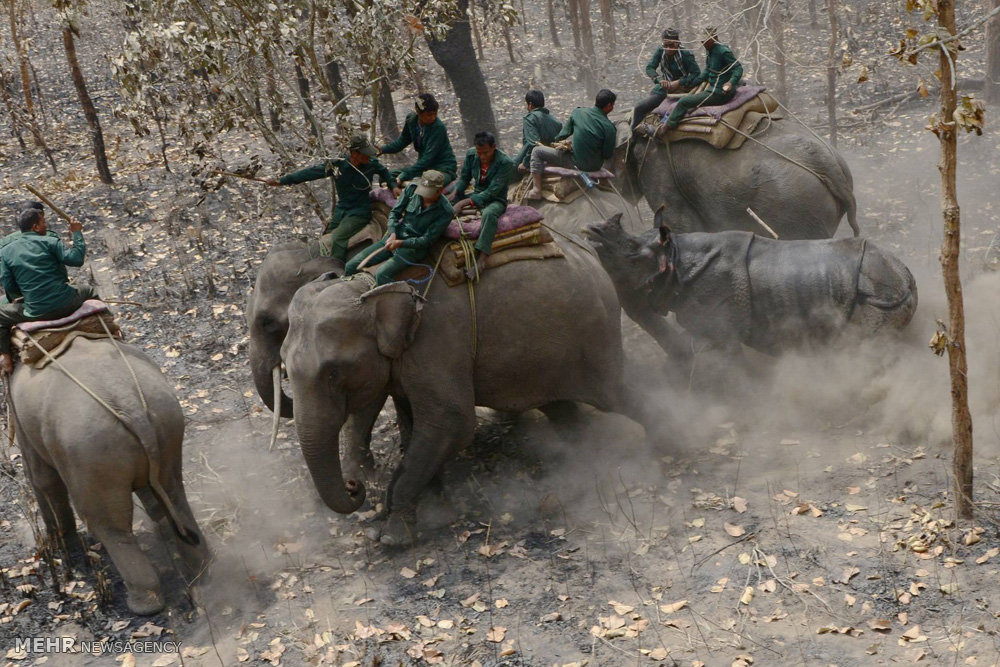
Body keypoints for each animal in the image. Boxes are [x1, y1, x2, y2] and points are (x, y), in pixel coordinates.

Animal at [9, 340, 210, 616]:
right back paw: (201, 565)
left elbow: (42, 478)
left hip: (92, 454)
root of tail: (131, 407)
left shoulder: (22, 421)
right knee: (173, 493)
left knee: (107, 524)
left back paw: (143, 605)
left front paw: (60, 546)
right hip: (168, 427)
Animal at [284, 235, 656, 548]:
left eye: (334, 372)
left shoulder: (438, 342)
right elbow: (417, 424)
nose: (354, 486)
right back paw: (584, 465)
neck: (373, 285)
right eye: (285, 368)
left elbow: (452, 423)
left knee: (618, 393)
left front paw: (390, 537)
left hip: (593, 331)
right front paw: (431, 511)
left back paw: (666, 449)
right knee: (560, 408)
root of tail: (587, 252)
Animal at [584, 214, 916, 360]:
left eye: (630, 251)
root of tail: (907, 276)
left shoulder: (721, 328)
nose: (591, 231)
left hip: (879, 296)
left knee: (867, 346)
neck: (676, 257)